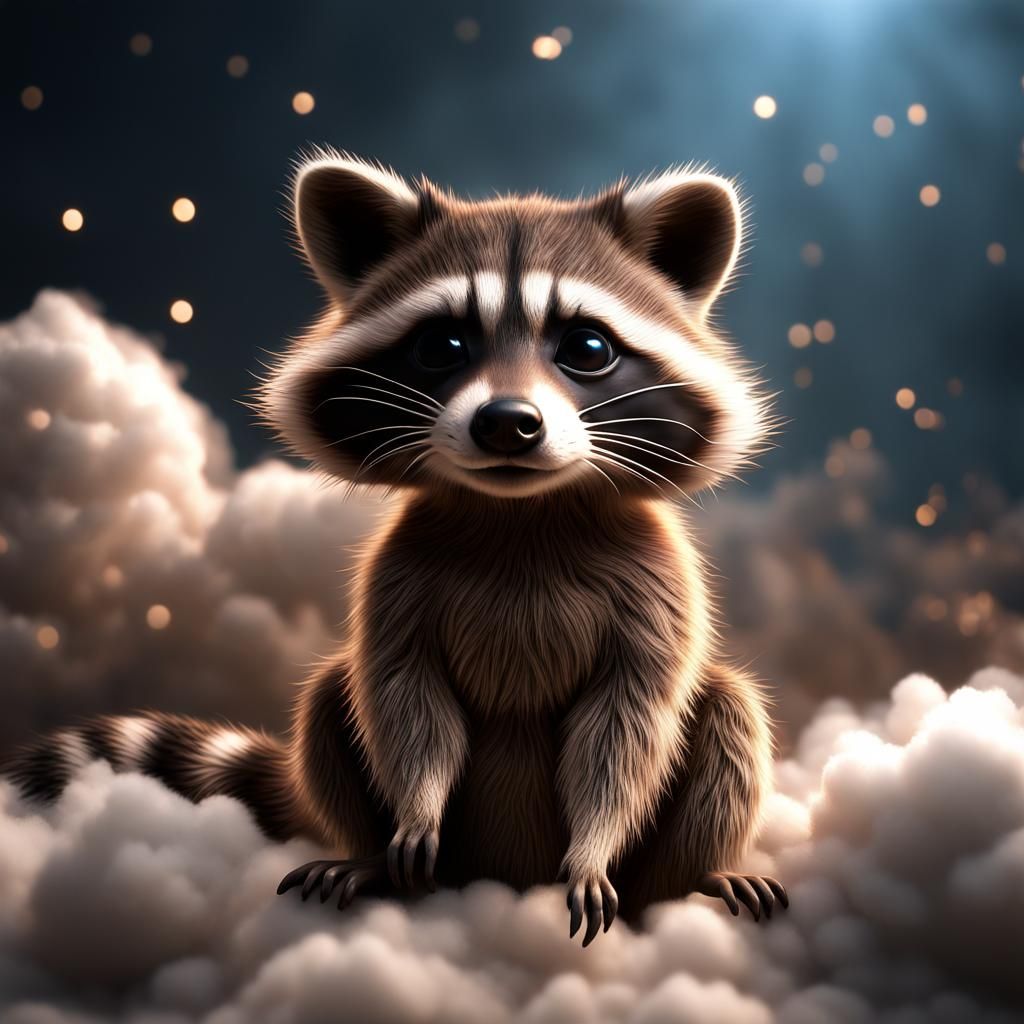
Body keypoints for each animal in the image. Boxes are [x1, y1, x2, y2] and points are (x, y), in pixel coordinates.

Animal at [4, 152, 785, 944]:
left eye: (587, 348)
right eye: (441, 345)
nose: (507, 423)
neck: (520, 514)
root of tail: (503, 877)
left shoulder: (658, 582)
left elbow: (627, 727)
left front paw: (594, 845)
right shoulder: (398, 572)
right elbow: (404, 697)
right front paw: (416, 808)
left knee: (728, 712)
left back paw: (689, 882)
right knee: (329, 696)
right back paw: (368, 859)